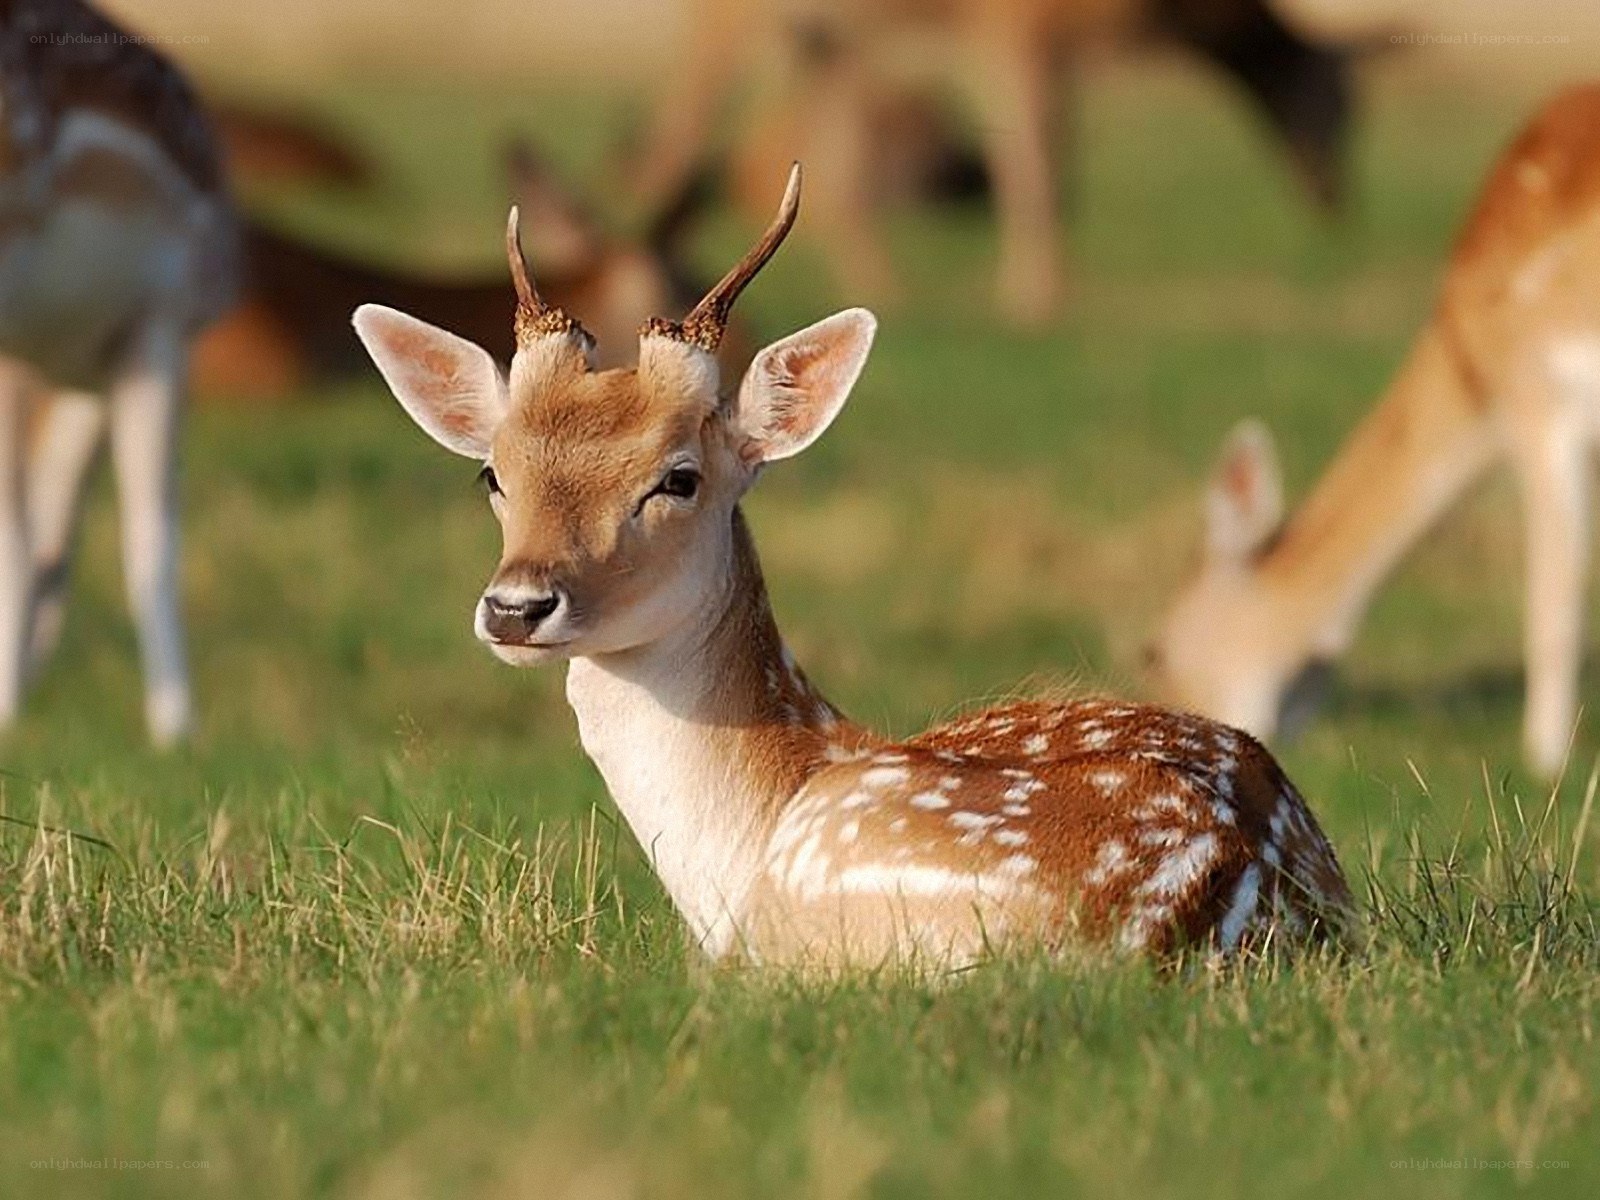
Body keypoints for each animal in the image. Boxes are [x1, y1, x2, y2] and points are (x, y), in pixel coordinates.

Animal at [632, 0, 1352, 324]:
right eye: (1341, 105)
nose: (1336, 200)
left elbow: (1053, 168)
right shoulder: (1016, 31)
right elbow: (1036, 167)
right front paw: (1035, 297)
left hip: (822, 39)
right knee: (676, 138)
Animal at [1150, 83, 1600, 782]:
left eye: (1157, 648)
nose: (1171, 722)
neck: (1474, 372)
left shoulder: (1543, 400)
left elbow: (1553, 596)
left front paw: (1545, 760)